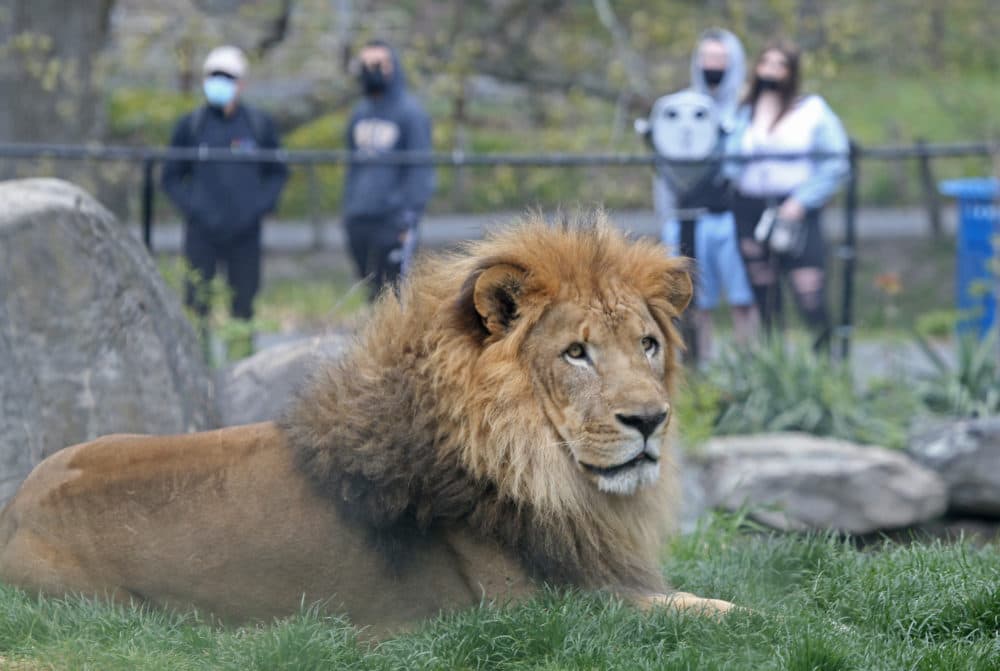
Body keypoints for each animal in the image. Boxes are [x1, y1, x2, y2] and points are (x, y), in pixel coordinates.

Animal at [0, 211, 733, 637]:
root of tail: (14, 507)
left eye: (647, 345)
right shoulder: (538, 606)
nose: (650, 419)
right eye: (576, 353)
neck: (546, 471)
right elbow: (716, 612)